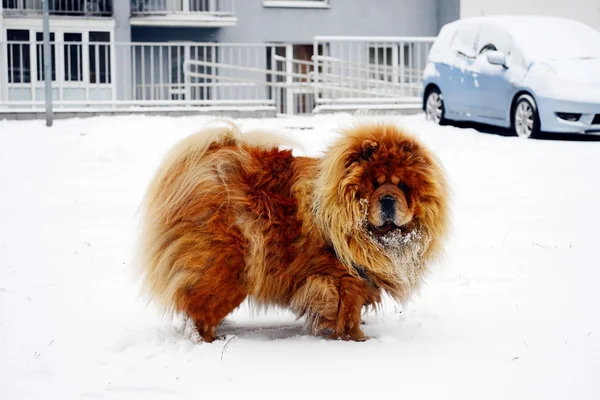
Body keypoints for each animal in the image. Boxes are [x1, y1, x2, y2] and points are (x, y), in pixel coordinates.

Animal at [139, 119, 450, 340]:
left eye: (402, 186)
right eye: (373, 186)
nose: (387, 199)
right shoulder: (343, 279)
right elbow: (347, 311)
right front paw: (357, 339)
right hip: (230, 270)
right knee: (201, 311)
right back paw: (212, 338)